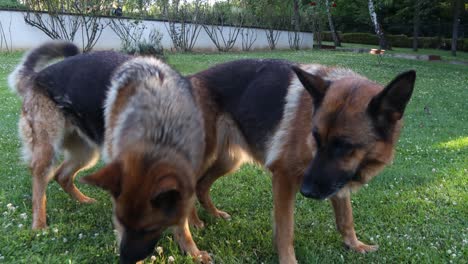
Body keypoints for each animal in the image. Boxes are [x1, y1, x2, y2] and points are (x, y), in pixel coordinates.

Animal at [8, 42, 210, 262]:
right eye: (120, 221)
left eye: (150, 228)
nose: (126, 259)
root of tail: (36, 77)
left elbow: (183, 218)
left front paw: (193, 248)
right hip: (48, 151)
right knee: (39, 185)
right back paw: (39, 224)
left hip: (87, 152)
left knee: (62, 175)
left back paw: (84, 201)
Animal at [188, 60, 414, 264]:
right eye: (316, 137)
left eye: (344, 146)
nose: (306, 191)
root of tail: (188, 79)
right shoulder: (285, 178)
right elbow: (285, 229)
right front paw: (288, 260)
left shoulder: (335, 180)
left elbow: (345, 217)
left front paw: (355, 245)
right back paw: (193, 223)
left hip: (229, 160)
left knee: (201, 185)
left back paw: (213, 215)